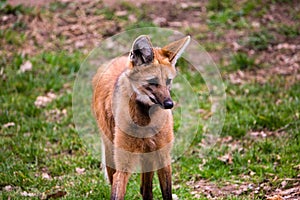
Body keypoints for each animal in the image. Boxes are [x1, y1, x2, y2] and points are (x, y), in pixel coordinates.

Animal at [92, 35, 190, 199]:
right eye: (152, 82)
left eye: (168, 81)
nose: (169, 104)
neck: (146, 122)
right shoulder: (123, 165)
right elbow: (117, 190)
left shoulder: (163, 156)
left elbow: (166, 193)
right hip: (111, 147)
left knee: (145, 188)